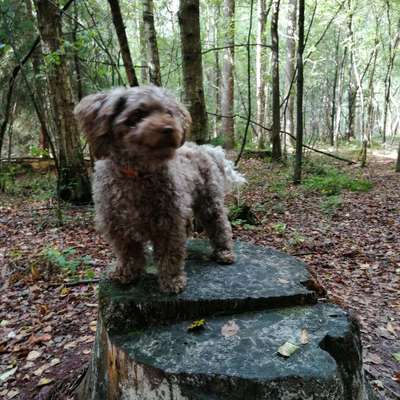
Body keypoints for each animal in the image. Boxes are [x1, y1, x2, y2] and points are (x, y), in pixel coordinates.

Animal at [74, 86, 244, 294]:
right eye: (137, 114)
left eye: (168, 113)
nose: (169, 129)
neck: (137, 173)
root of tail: (206, 148)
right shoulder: (118, 224)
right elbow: (127, 252)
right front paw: (126, 273)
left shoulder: (168, 223)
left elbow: (169, 253)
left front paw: (172, 280)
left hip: (209, 201)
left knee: (219, 224)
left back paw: (224, 251)